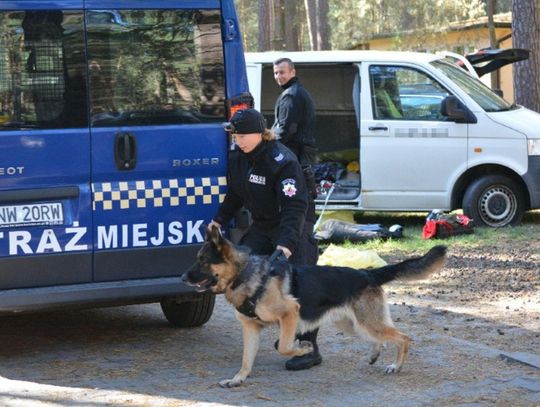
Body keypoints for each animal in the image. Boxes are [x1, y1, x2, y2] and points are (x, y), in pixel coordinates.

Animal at [182, 226, 448, 388]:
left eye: (202, 261)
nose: (183, 278)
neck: (246, 274)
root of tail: (367, 273)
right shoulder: (251, 329)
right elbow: (247, 360)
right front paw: (238, 379)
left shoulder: (290, 314)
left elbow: (284, 346)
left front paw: (302, 351)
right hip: (353, 324)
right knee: (381, 338)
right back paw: (375, 354)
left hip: (366, 323)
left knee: (402, 337)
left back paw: (396, 366)